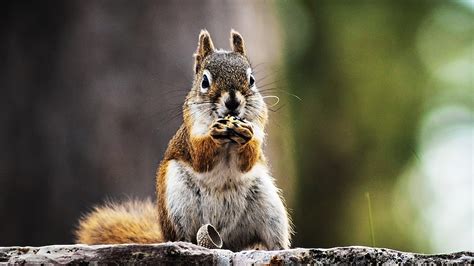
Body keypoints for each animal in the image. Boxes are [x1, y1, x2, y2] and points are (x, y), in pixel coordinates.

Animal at [75, 29, 292, 251]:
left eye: (251, 80)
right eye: (204, 81)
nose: (232, 102)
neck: (228, 141)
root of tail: (225, 241)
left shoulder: (258, 128)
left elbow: (247, 161)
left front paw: (245, 136)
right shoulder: (190, 137)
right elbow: (200, 157)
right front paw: (214, 136)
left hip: (270, 206)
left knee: (273, 237)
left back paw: (279, 249)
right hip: (177, 201)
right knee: (184, 234)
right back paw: (185, 245)